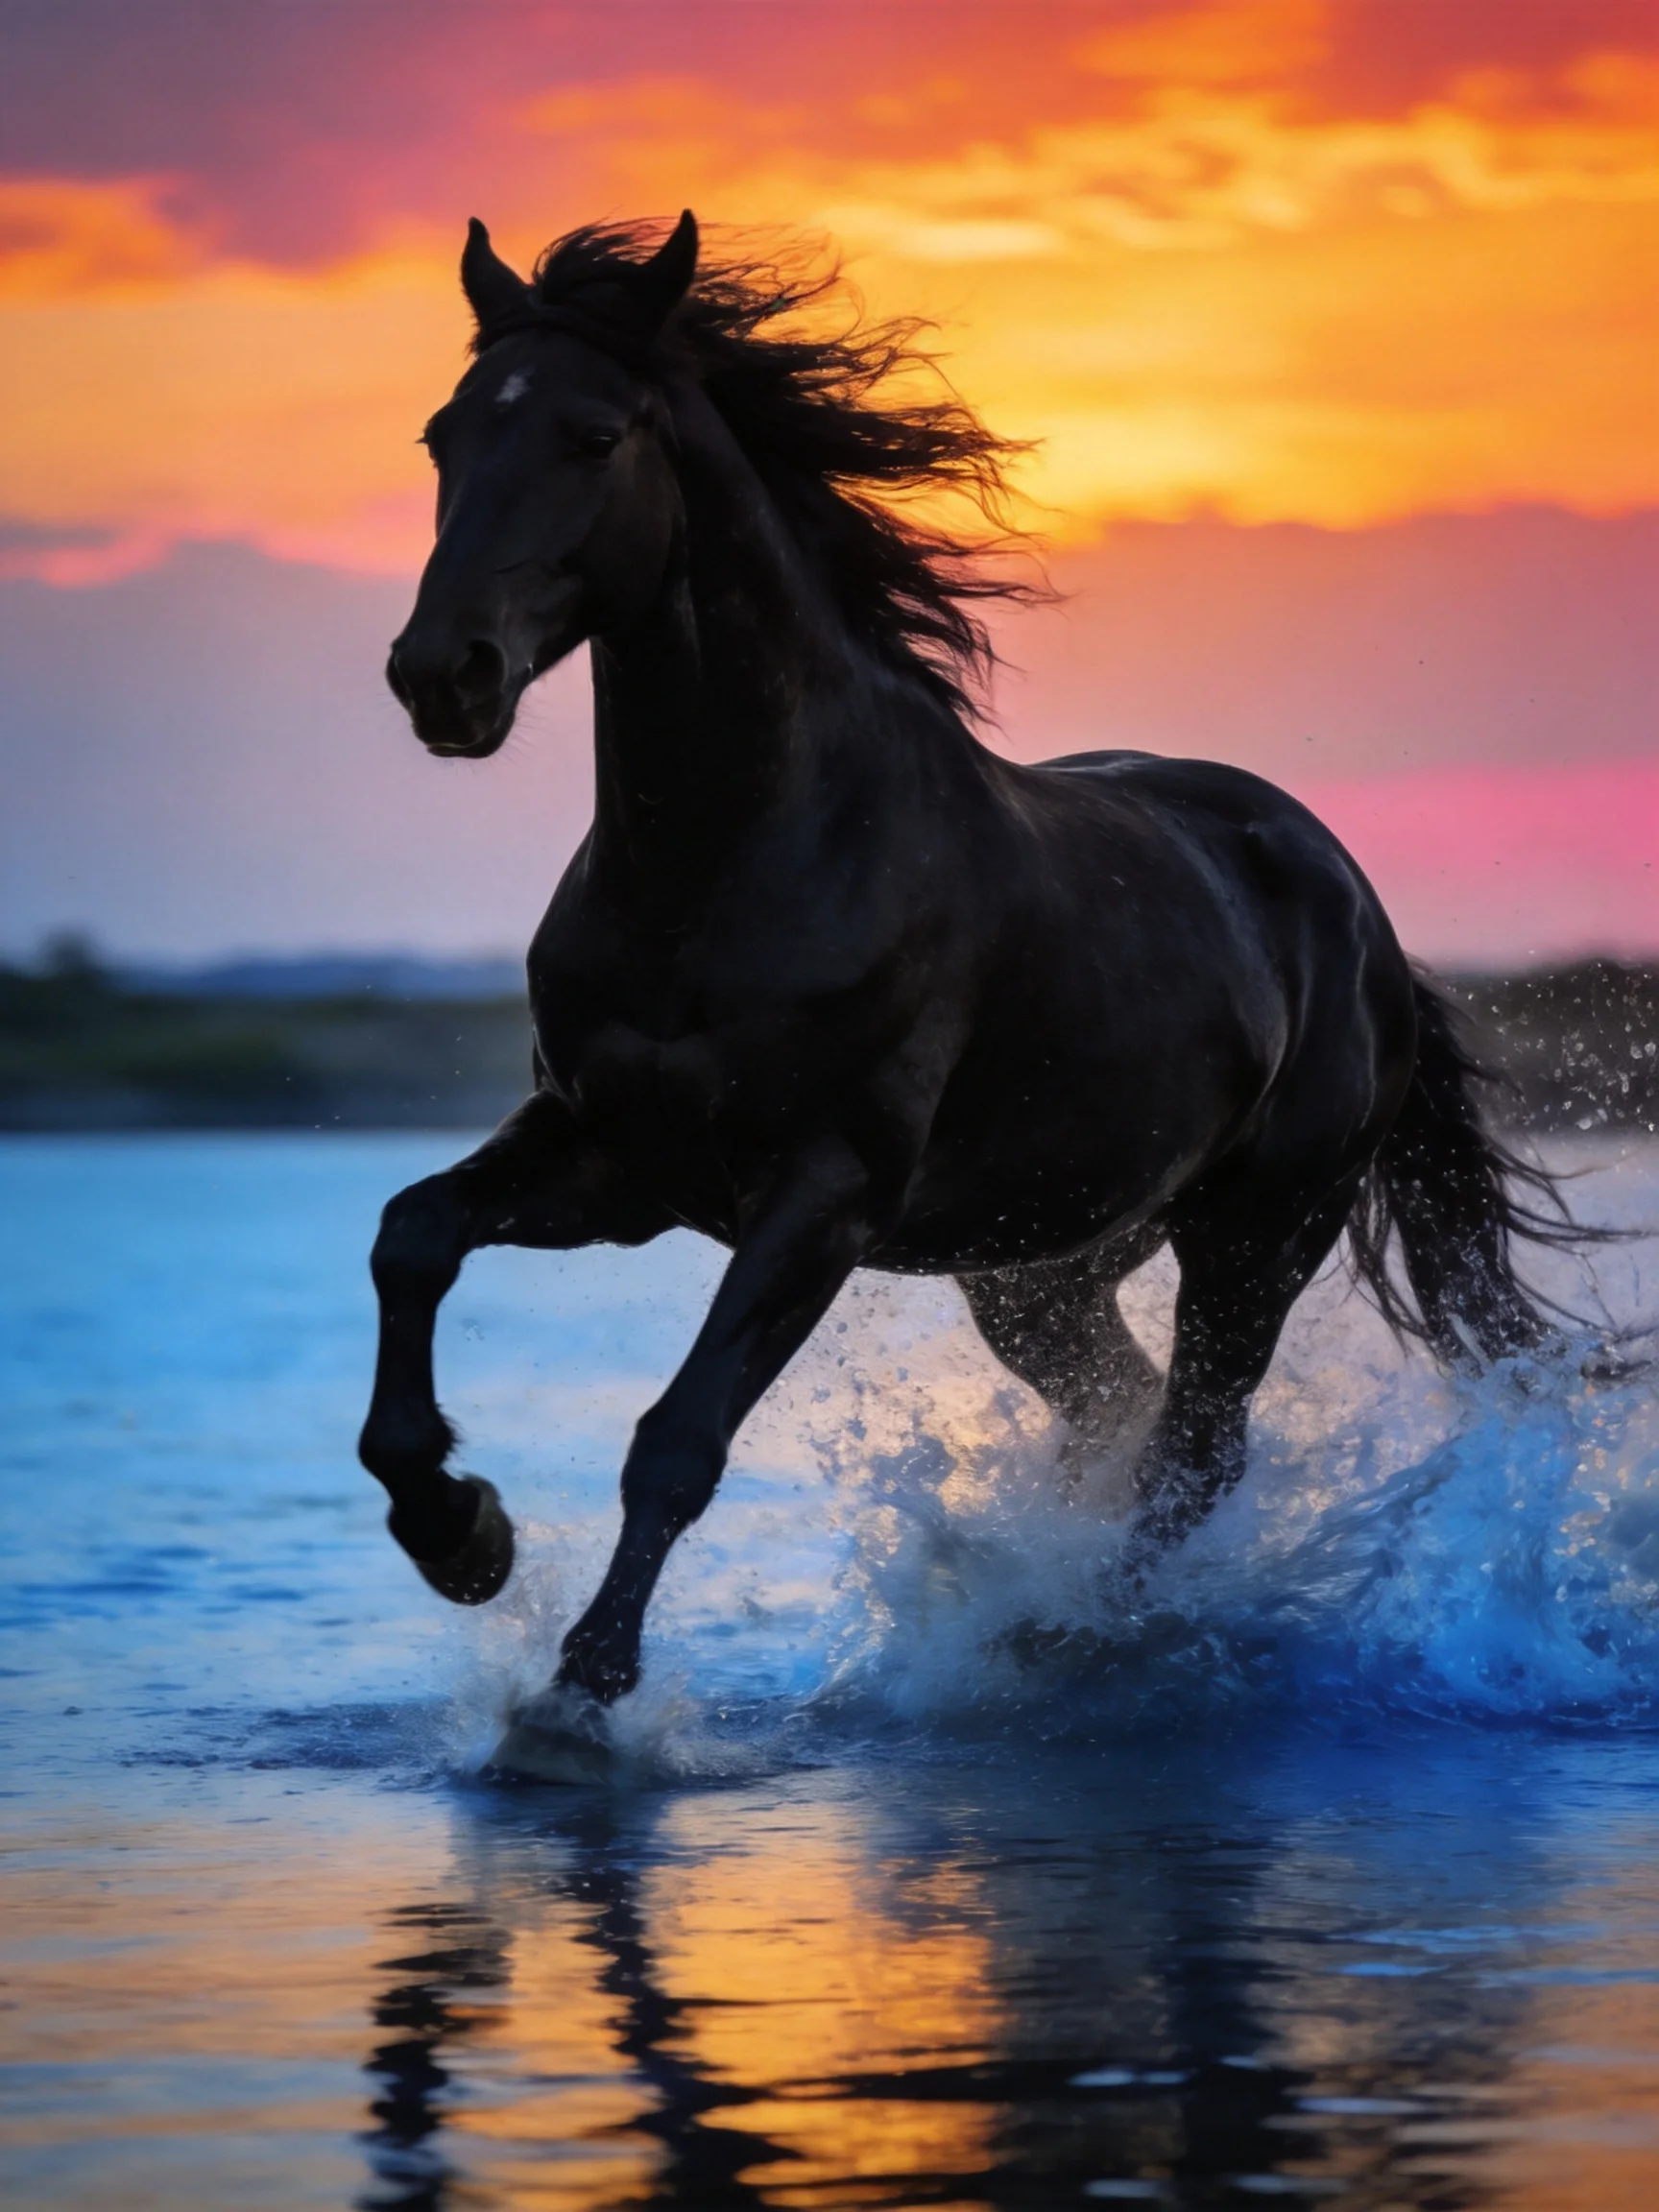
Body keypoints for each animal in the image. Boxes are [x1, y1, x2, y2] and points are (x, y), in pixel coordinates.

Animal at [360, 210, 1573, 1722]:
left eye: (591, 435)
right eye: (444, 433)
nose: (442, 675)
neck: (729, 865)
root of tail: (1365, 918)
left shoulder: (820, 1193)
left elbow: (680, 1436)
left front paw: (583, 1690)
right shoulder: (616, 1160)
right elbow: (411, 1236)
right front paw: (462, 1535)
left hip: (1255, 1240)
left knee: (1193, 1452)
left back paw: (1088, 1640)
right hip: (1041, 1271)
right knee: (1121, 1417)